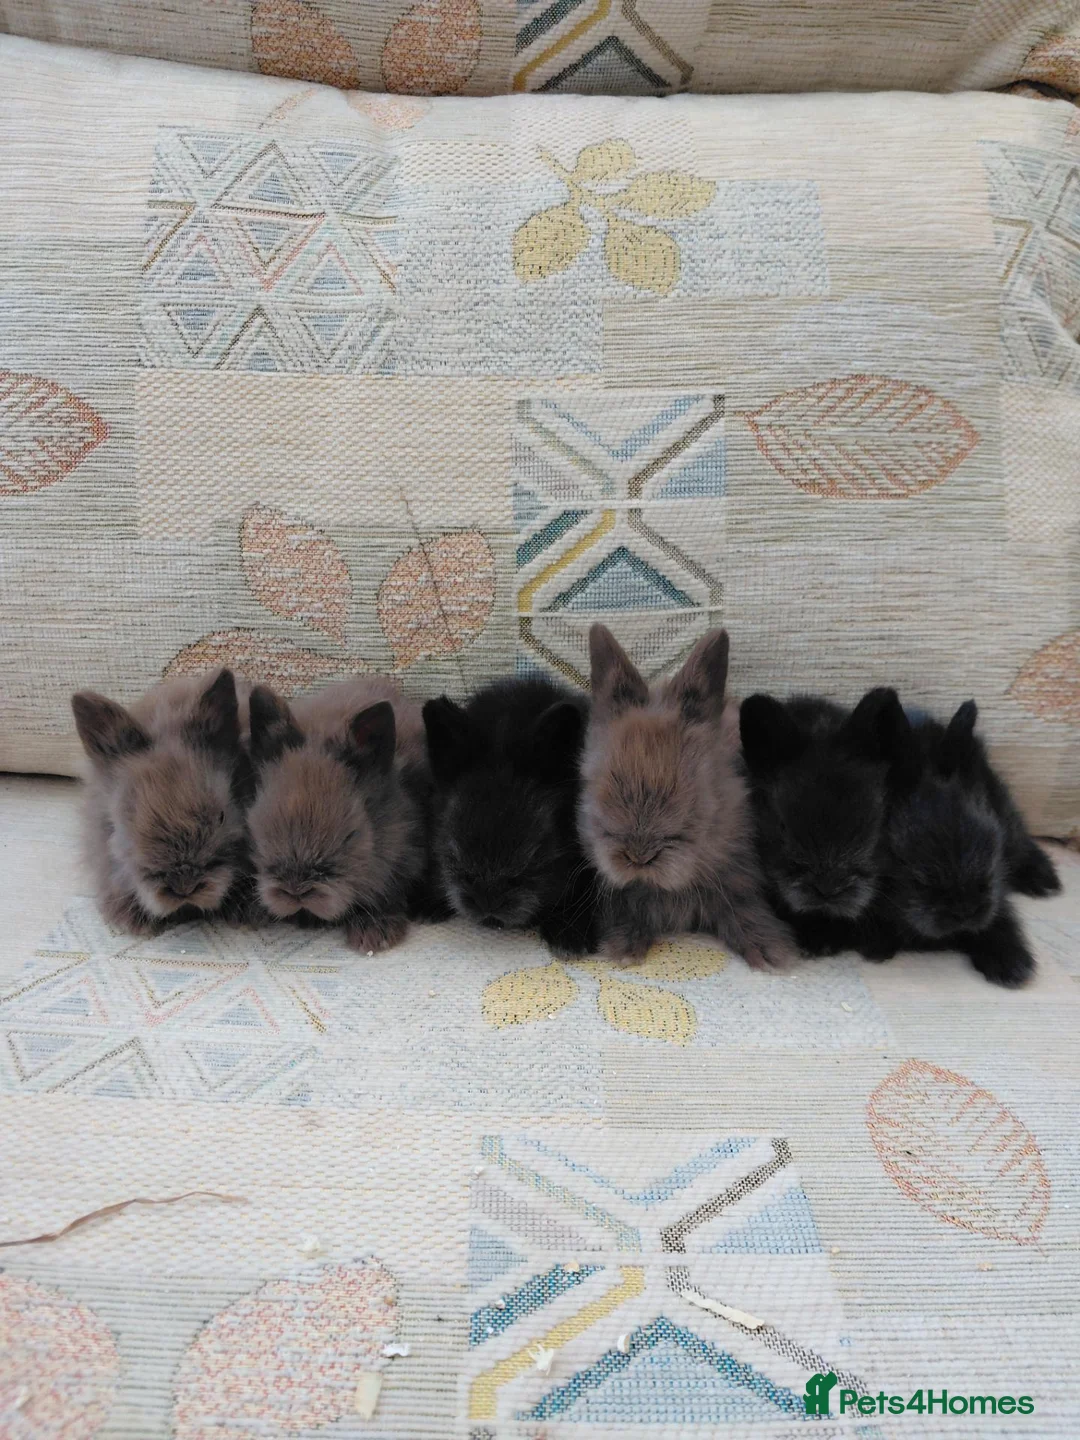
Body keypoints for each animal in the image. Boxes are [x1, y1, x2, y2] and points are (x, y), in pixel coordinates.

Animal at [579, 624, 797, 970]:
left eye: (697, 789)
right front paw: (625, 947)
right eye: (592, 780)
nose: (639, 858)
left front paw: (770, 952)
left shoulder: (737, 879)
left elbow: (745, 910)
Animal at [858, 700, 1051, 987]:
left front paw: (1012, 965)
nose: (965, 910)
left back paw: (1046, 880)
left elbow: (1001, 915)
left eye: (988, 830)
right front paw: (879, 945)